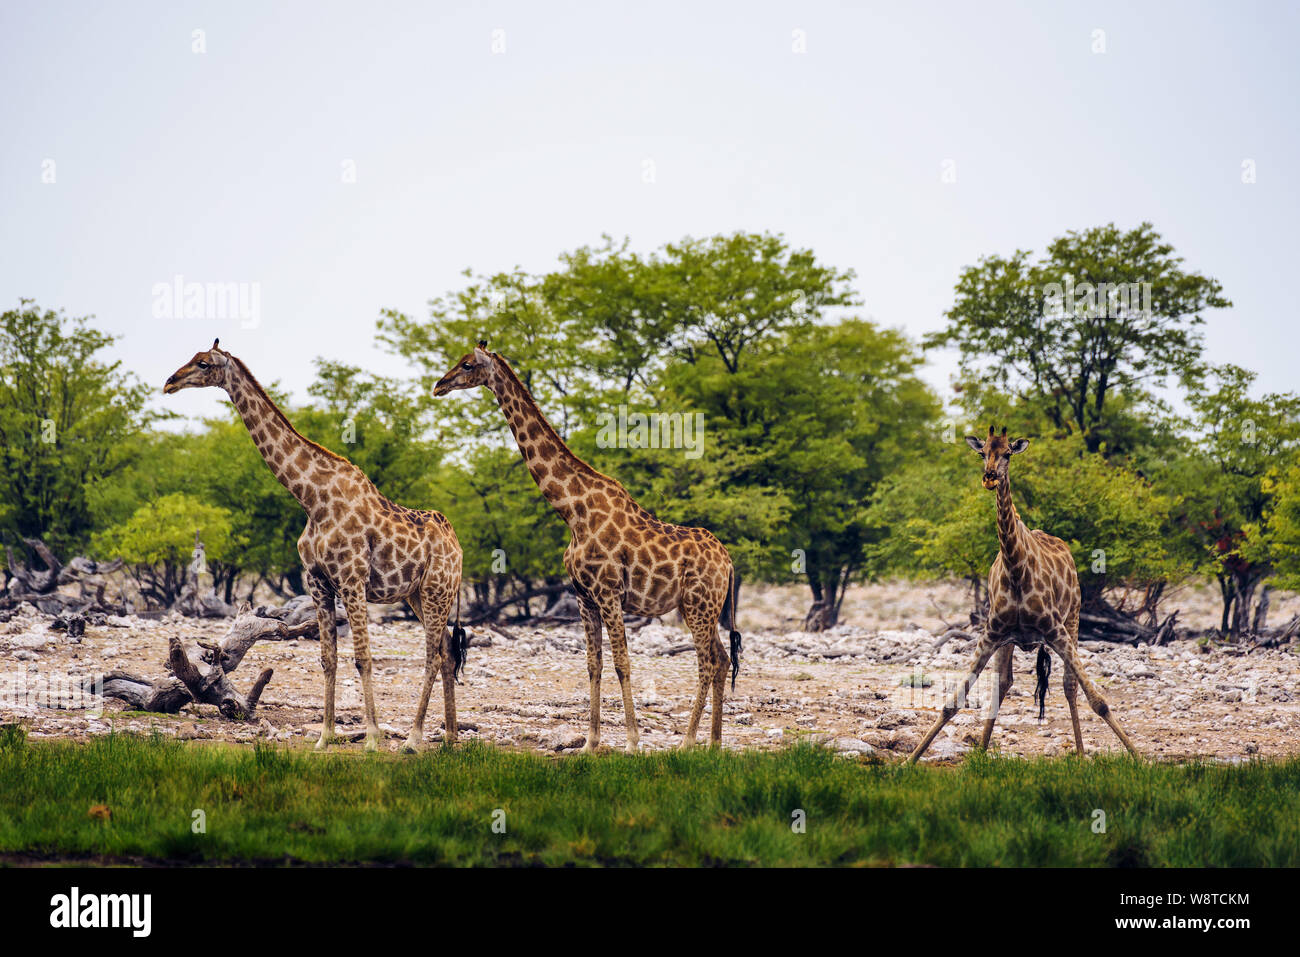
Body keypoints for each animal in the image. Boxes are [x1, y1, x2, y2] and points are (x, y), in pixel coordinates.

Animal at [163, 340, 467, 748]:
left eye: (203, 363)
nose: (170, 381)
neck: (311, 498)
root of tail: (458, 547)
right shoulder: (317, 580)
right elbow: (328, 658)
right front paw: (324, 737)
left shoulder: (352, 580)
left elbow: (363, 657)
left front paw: (373, 738)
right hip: (418, 595)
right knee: (448, 651)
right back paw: (448, 739)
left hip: (437, 590)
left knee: (433, 654)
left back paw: (413, 740)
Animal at [434, 340, 743, 748]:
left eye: (467, 364)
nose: (438, 385)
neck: (572, 512)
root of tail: (729, 562)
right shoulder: (584, 595)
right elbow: (593, 663)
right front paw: (591, 743)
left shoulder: (608, 591)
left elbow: (622, 662)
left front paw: (632, 742)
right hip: (705, 606)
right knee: (722, 660)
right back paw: (714, 744)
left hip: (698, 604)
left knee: (707, 662)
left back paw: (688, 741)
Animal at [904, 426, 1138, 764]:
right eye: (982, 452)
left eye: (1008, 454)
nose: (990, 477)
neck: (1015, 569)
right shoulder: (990, 632)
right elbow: (954, 701)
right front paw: (907, 762)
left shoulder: (1055, 630)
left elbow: (1099, 700)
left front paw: (1140, 758)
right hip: (1009, 640)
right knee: (1004, 683)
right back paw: (981, 751)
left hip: (1073, 619)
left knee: (1069, 686)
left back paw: (1081, 755)